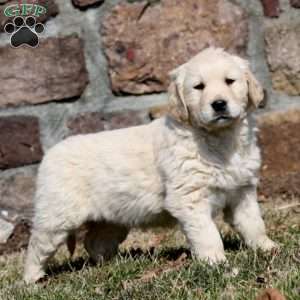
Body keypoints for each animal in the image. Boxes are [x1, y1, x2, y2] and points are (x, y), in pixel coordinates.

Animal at [24, 47, 278, 284]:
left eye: (229, 81)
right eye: (199, 87)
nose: (219, 104)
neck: (219, 139)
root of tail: (50, 153)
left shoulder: (242, 191)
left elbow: (253, 223)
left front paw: (267, 249)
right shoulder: (190, 199)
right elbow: (208, 234)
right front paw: (216, 263)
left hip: (113, 217)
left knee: (95, 242)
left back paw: (112, 264)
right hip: (57, 215)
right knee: (36, 247)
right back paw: (31, 281)